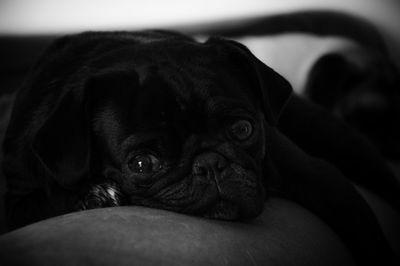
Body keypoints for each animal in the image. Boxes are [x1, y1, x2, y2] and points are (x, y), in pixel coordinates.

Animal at [3, 30, 400, 264]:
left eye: (243, 129)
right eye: (142, 163)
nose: (210, 164)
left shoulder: (322, 179)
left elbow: (366, 232)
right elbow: (41, 202)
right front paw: (95, 195)